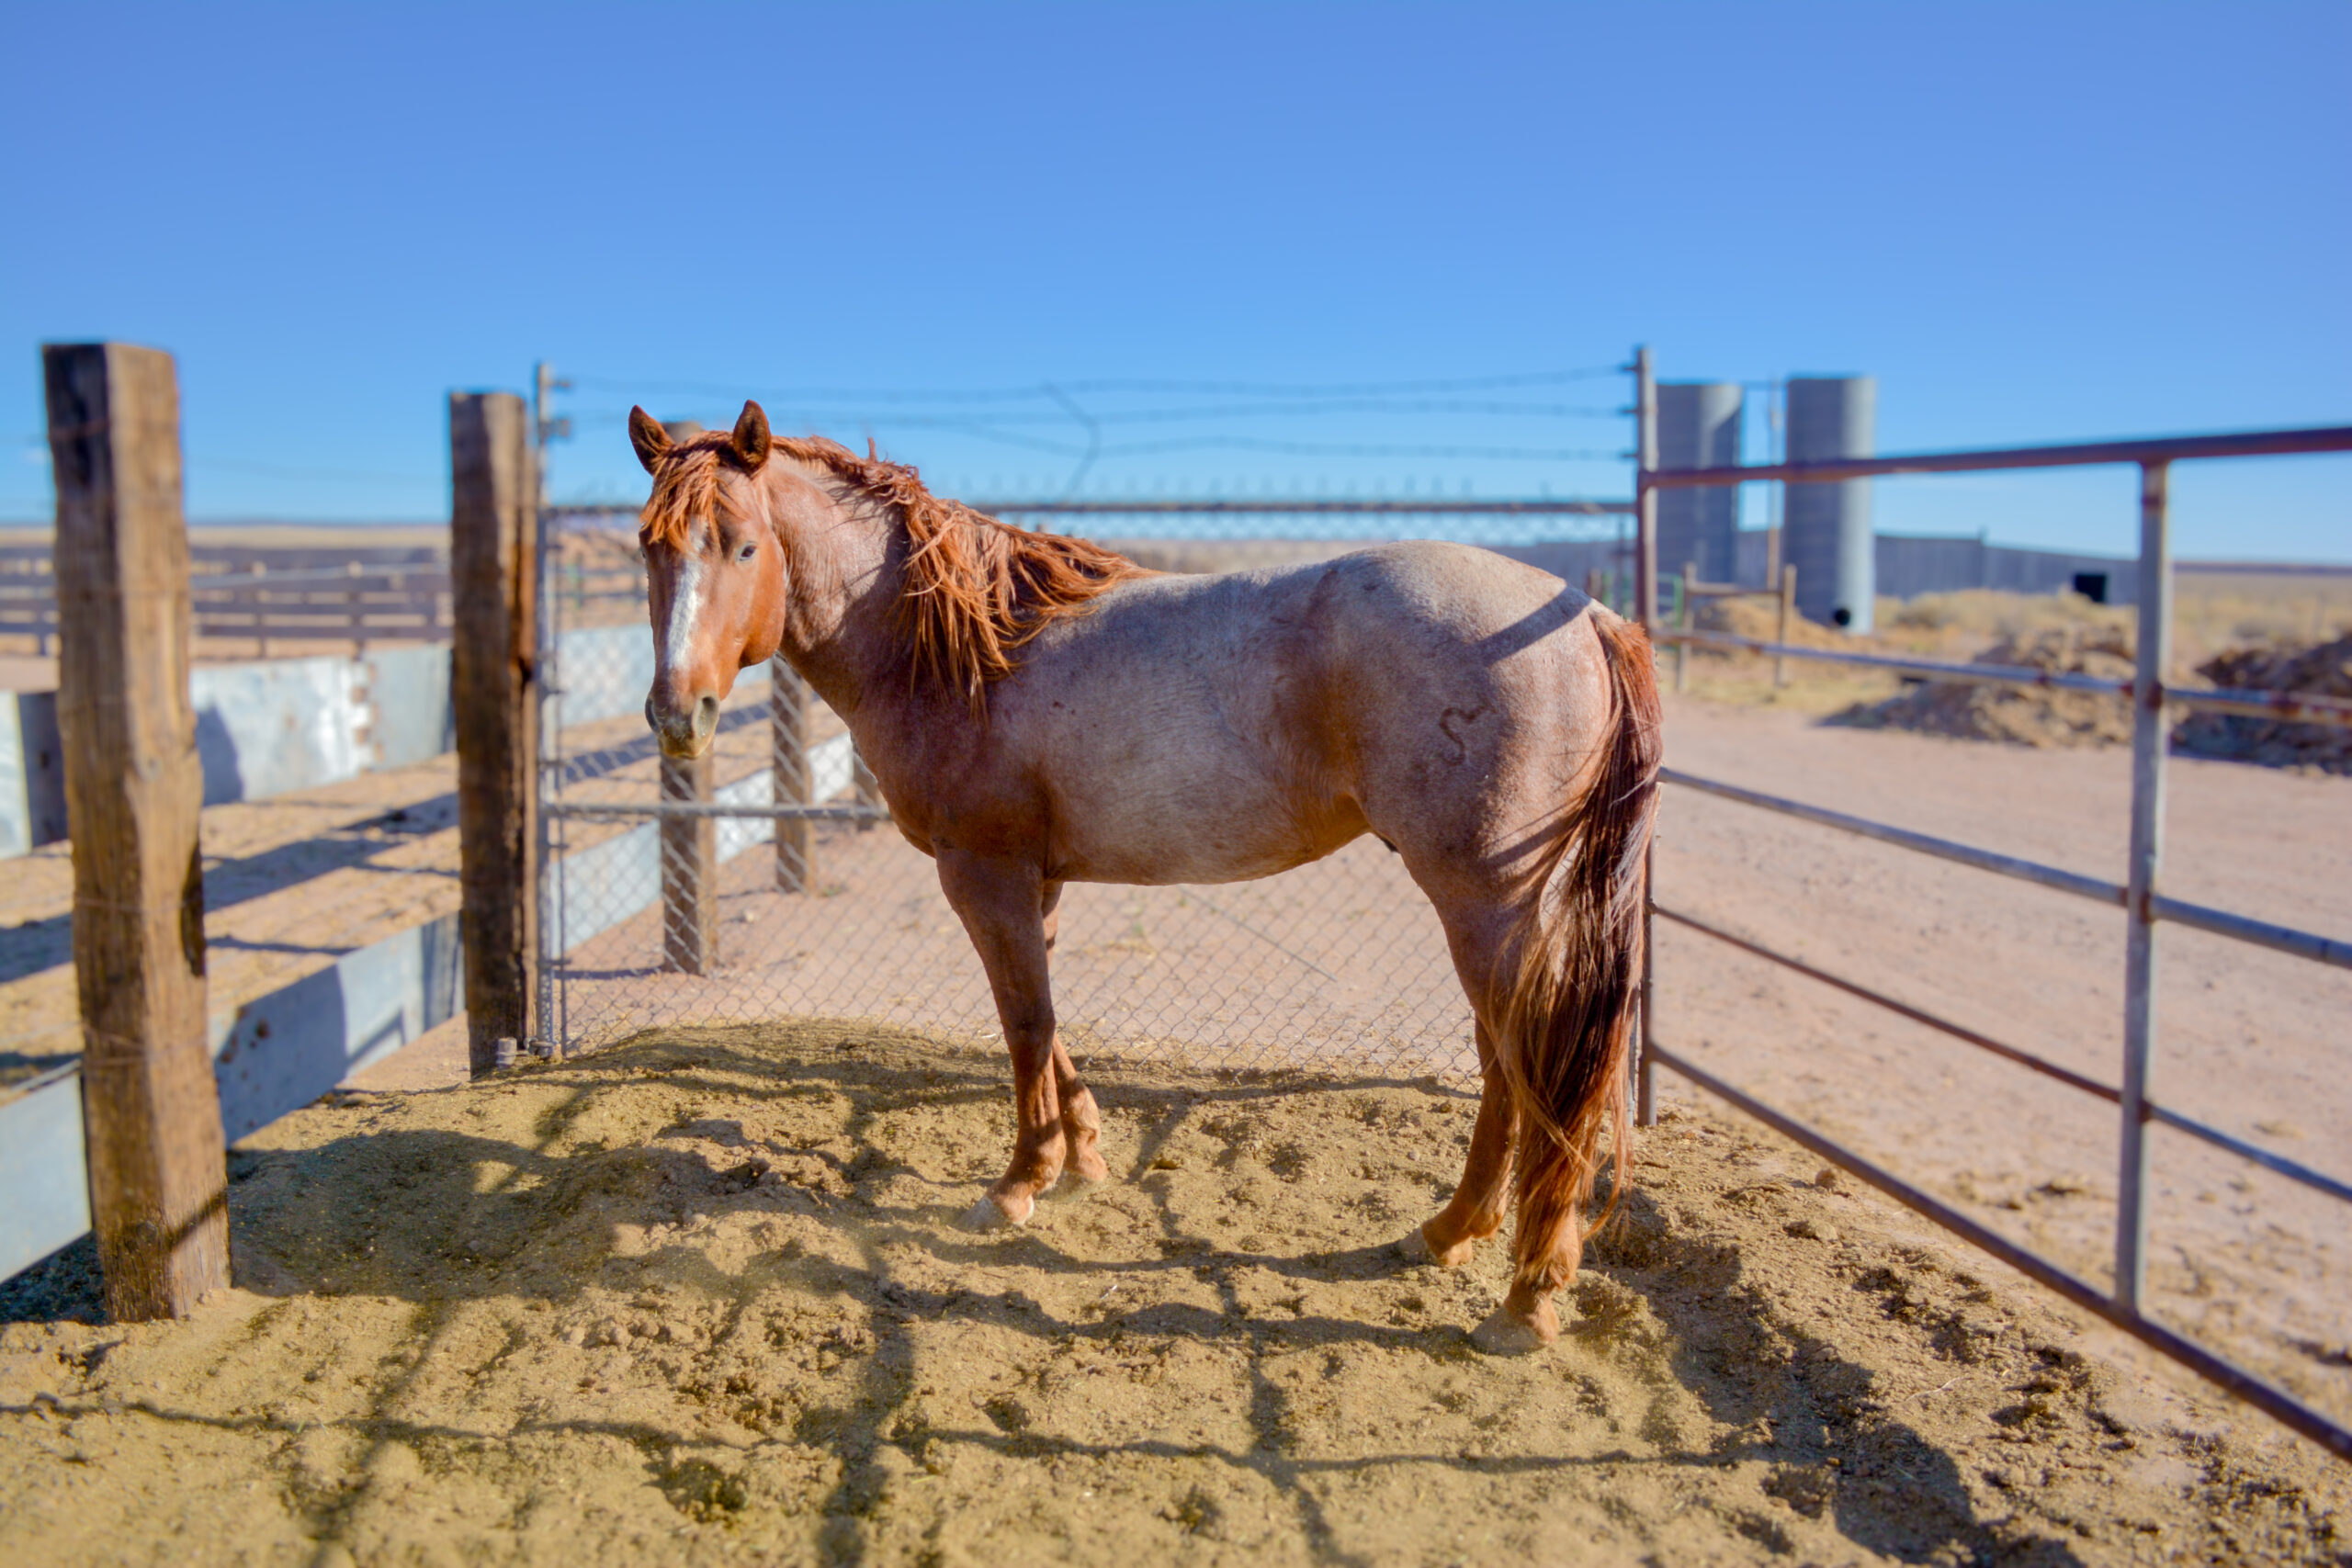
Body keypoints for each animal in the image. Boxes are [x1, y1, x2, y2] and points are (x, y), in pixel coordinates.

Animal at [626, 400, 1662, 1353]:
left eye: (744, 546)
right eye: (650, 549)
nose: (679, 716)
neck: (957, 651)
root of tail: (1589, 616)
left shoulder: (983, 877)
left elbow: (1022, 1023)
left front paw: (1018, 1185)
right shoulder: (1034, 884)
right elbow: (1046, 1023)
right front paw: (1082, 1154)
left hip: (1482, 904)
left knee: (1525, 1065)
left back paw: (1525, 1295)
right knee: (1504, 1067)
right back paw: (1450, 1234)